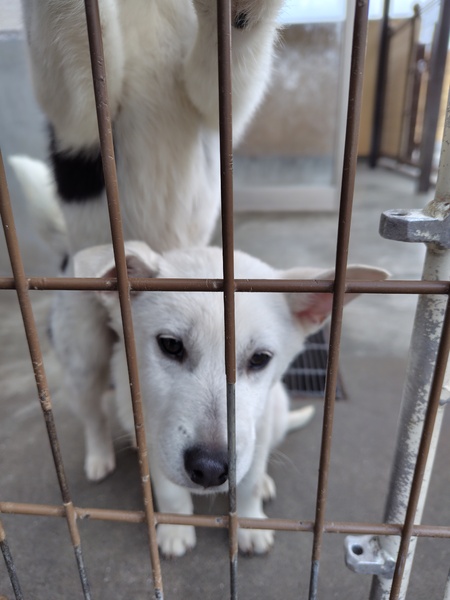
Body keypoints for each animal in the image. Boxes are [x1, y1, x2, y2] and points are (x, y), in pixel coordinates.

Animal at [51, 240, 388, 557]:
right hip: (84, 363)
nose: (210, 469)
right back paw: (99, 457)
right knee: (94, 417)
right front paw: (175, 530)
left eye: (259, 359)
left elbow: (249, 482)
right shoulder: (153, 431)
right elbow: (169, 490)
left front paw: (249, 524)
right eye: (170, 345)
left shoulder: (258, 428)